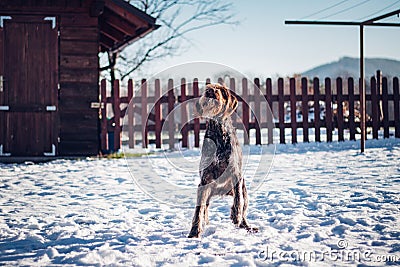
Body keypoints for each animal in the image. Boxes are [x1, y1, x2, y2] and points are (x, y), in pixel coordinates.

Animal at [188, 84, 256, 239]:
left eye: (222, 91)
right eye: (206, 88)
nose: (211, 91)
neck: (218, 133)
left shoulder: (236, 174)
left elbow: (238, 200)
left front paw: (235, 215)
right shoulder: (204, 181)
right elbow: (199, 210)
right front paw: (194, 231)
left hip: (244, 190)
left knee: (243, 206)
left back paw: (245, 225)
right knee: (205, 207)